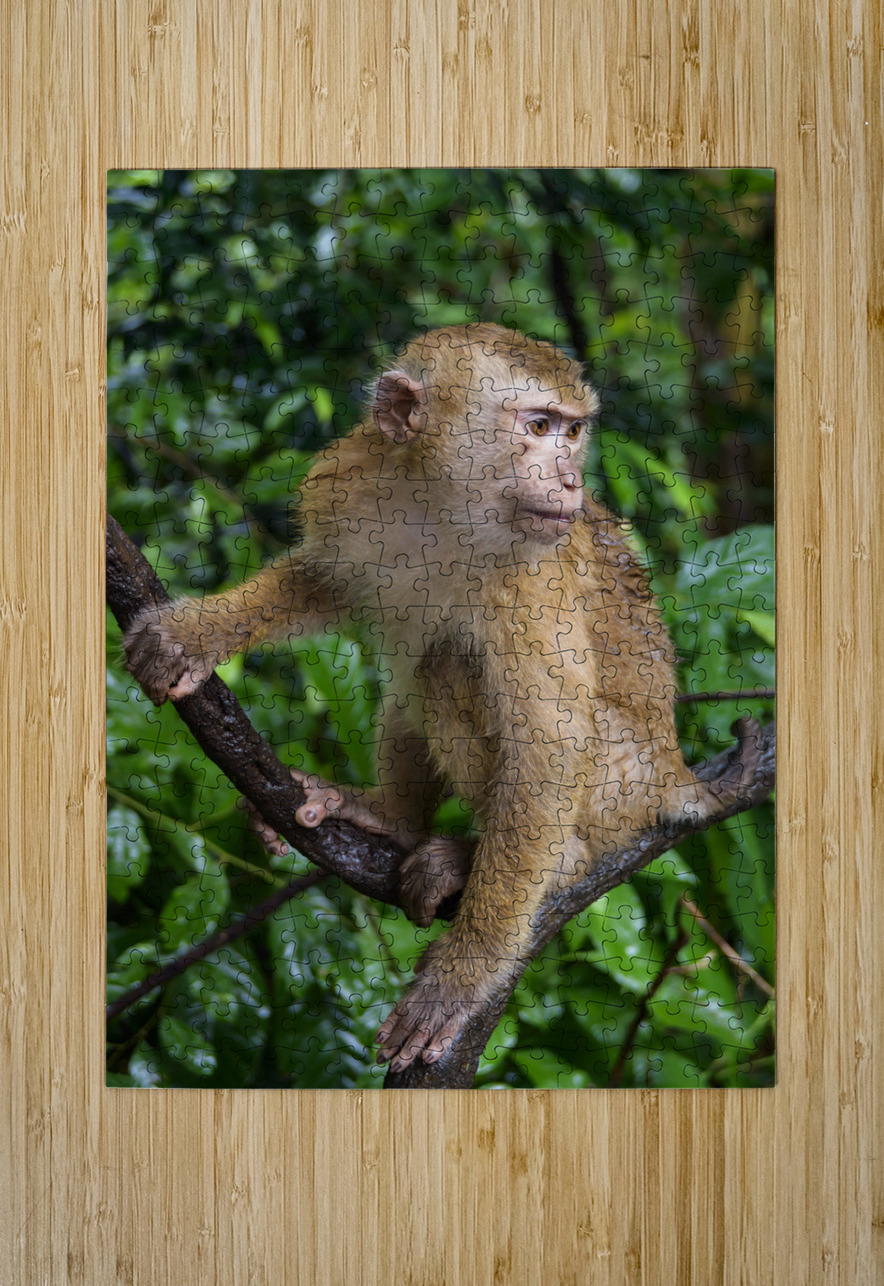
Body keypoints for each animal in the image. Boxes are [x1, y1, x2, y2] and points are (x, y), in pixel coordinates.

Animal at [123, 323, 761, 1072]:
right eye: (538, 427)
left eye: (573, 432)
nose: (571, 478)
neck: (445, 508)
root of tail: (670, 768)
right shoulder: (353, 481)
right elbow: (322, 580)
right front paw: (195, 634)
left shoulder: (530, 577)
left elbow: (549, 740)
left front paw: (463, 973)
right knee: (415, 678)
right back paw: (393, 819)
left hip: (619, 782)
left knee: (450, 669)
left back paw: (543, 860)